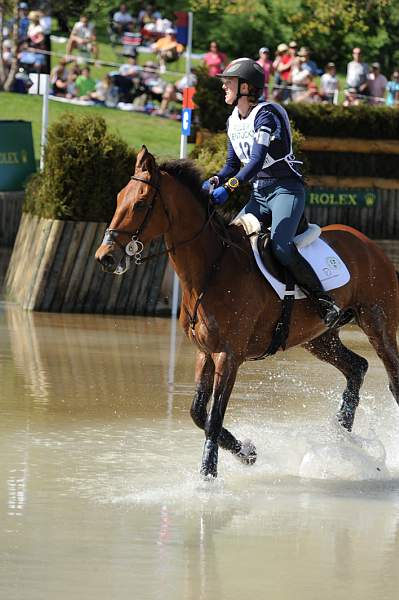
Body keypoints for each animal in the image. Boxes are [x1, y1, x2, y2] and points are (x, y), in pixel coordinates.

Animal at [96, 145, 399, 478]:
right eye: (118, 199)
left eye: (139, 203)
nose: (105, 257)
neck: (211, 269)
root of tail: (370, 245)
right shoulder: (204, 352)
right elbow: (198, 413)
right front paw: (247, 452)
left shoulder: (228, 356)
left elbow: (214, 419)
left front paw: (208, 476)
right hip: (318, 338)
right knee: (357, 367)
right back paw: (340, 436)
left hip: (378, 325)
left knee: (391, 376)